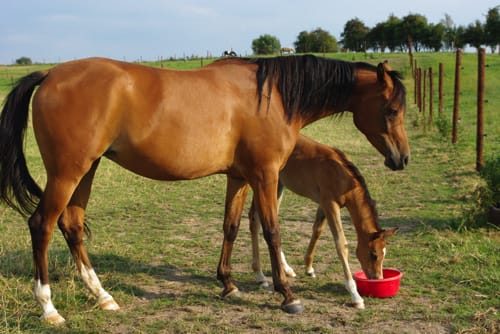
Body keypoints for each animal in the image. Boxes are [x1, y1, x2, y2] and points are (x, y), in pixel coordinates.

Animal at [248, 134, 396, 310]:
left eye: (384, 254)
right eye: (374, 254)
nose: (377, 279)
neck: (342, 176)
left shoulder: (323, 204)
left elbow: (317, 230)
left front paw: (309, 268)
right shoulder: (330, 204)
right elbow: (341, 244)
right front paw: (355, 296)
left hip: (278, 186)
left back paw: (287, 269)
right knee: (255, 220)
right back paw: (260, 275)